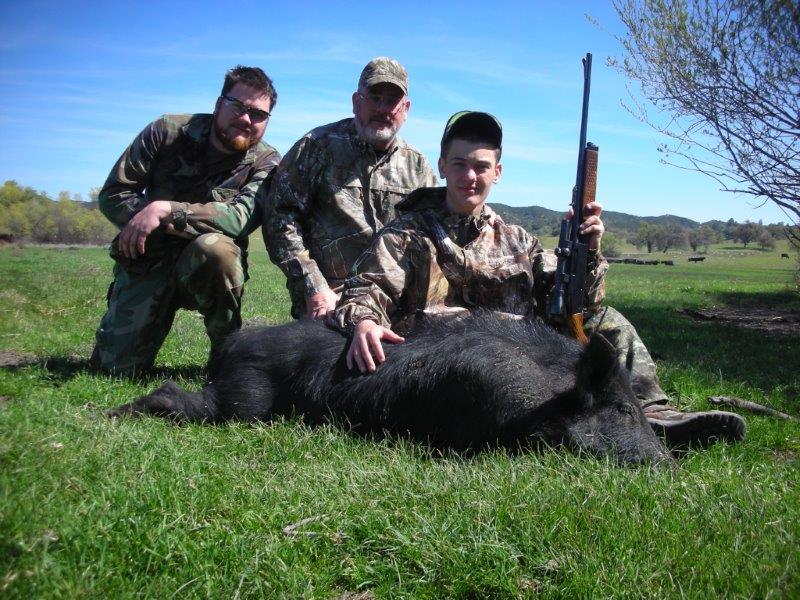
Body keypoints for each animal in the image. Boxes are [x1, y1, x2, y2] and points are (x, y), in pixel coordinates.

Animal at [108, 311, 673, 466]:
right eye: (623, 410)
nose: (669, 465)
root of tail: (235, 342)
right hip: (240, 401)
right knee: (177, 395)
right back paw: (111, 416)